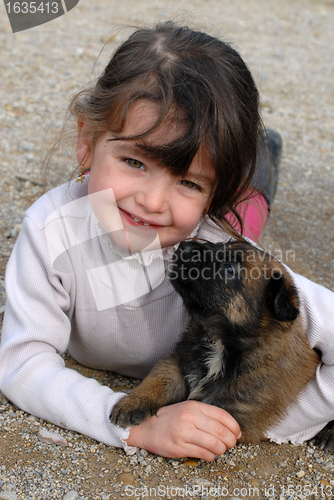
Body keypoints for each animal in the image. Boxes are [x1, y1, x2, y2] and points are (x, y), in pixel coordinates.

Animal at [111, 240, 320, 444]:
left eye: (229, 268)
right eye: (218, 245)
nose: (184, 246)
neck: (219, 341)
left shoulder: (237, 412)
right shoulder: (178, 362)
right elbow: (156, 380)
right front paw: (132, 403)